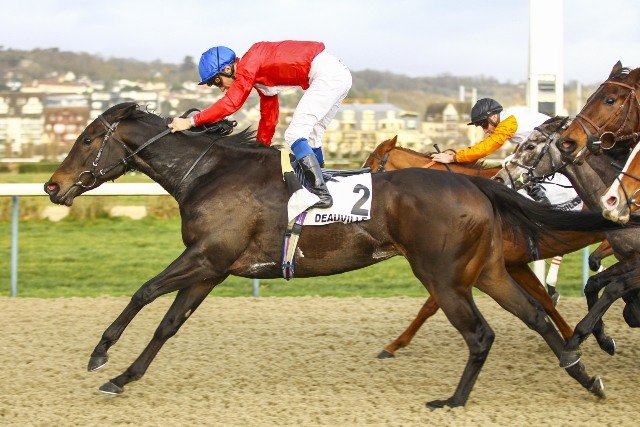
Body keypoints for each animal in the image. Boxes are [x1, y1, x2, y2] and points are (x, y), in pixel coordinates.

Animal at [44, 102, 625, 408]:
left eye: (89, 137)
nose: (52, 186)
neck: (210, 174)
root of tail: (476, 187)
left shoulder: (206, 257)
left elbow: (143, 292)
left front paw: (100, 353)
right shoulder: (213, 267)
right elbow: (169, 323)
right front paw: (123, 376)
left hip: (442, 275)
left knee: (482, 333)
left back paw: (454, 401)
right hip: (487, 270)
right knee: (536, 317)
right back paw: (584, 373)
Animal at [498, 116, 640, 368]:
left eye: (530, 146)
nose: (500, 177)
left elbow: (614, 286)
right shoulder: (629, 257)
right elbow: (595, 283)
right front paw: (604, 337)